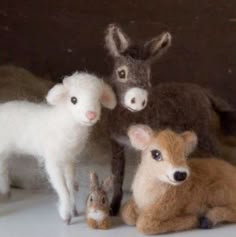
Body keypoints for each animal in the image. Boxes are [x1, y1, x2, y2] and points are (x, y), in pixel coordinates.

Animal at [0, 71, 116, 223]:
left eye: (98, 100)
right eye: (73, 99)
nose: (91, 115)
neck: (62, 123)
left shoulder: (69, 160)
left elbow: (70, 185)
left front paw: (73, 210)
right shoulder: (52, 161)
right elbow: (63, 188)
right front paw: (66, 215)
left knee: (3, 168)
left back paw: (5, 191)